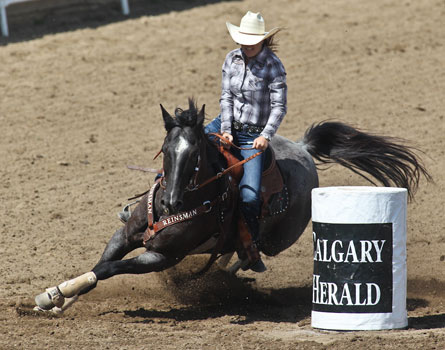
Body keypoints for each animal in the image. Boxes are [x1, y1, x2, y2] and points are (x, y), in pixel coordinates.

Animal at [34, 100, 430, 314]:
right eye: (166, 150)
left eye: (195, 155)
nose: (170, 201)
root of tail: (303, 149)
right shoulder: (124, 235)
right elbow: (100, 265)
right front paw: (57, 297)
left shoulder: (161, 257)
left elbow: (109, 269)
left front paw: (53, 296)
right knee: (232, 249)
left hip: (278, 238)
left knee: (248, 253)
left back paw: (228, 274)